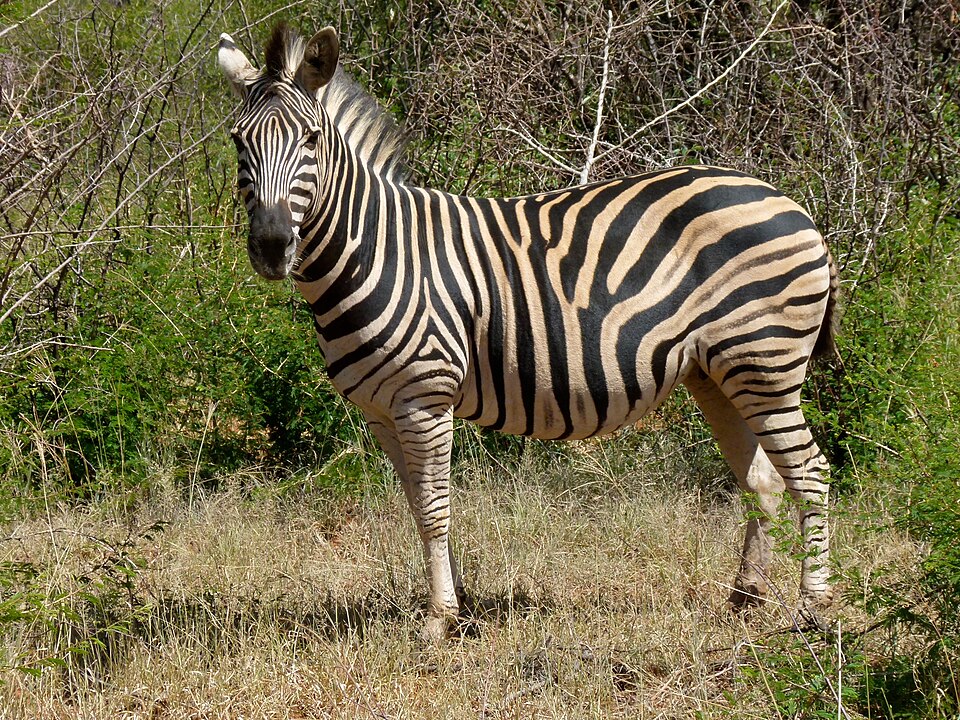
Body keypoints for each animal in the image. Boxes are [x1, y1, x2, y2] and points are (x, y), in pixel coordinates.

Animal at [218, 23, 838, 641]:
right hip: (717, 372)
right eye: (236, 141)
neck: (376, 251)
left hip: (765, 363)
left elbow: (436, 506)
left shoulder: (425, 397)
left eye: (311, 141)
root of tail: (791, 204)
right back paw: (746, 597)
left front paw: (439, 620)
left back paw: (813, 610)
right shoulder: (381, 409)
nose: (272, 247)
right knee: (764, 479)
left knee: (810, 473)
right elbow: (417, 505)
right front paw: (458, 602)